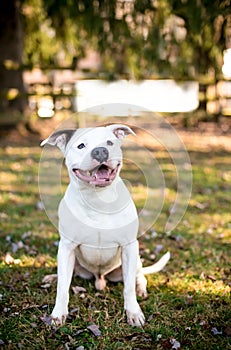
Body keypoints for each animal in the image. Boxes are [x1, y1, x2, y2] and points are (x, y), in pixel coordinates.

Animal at [40, 123, 169, 328]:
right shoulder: (66, 247)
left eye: (109, 142)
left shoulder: (129, 247)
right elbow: (62, 288)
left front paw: (133, 312)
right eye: (81, 146)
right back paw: (53, 277)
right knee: (66, 275)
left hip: (132, 262)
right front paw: (57, 314)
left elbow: (128, 288)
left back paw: (140, 288)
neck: (98, 199)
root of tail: (99, 278)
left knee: (139, 276)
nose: (100, 151)